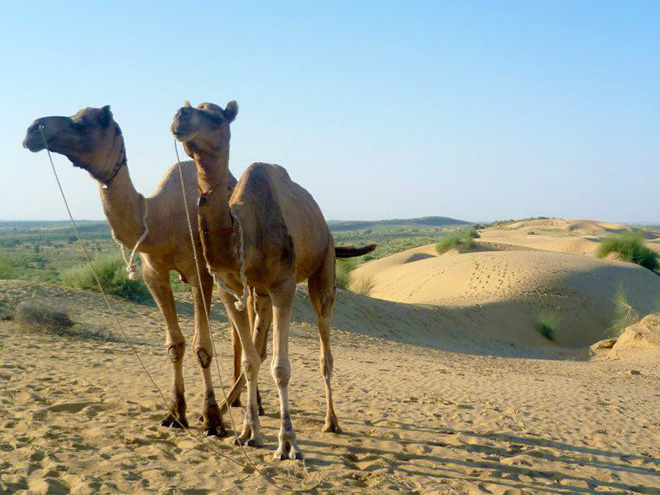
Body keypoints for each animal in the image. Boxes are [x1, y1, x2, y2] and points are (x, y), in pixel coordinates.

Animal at [171, 101, 366, 462]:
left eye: (216, 116)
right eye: (189, 107)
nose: (181, 116)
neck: (245, 227)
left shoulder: (283, 286)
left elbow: (281, 368)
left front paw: (287, 443)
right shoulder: (230, 289)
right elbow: (250, 362)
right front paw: (248, 433)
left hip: (323, 270)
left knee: (325, 350)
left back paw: (332, 421)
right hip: (259, 294)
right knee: (259, 350)